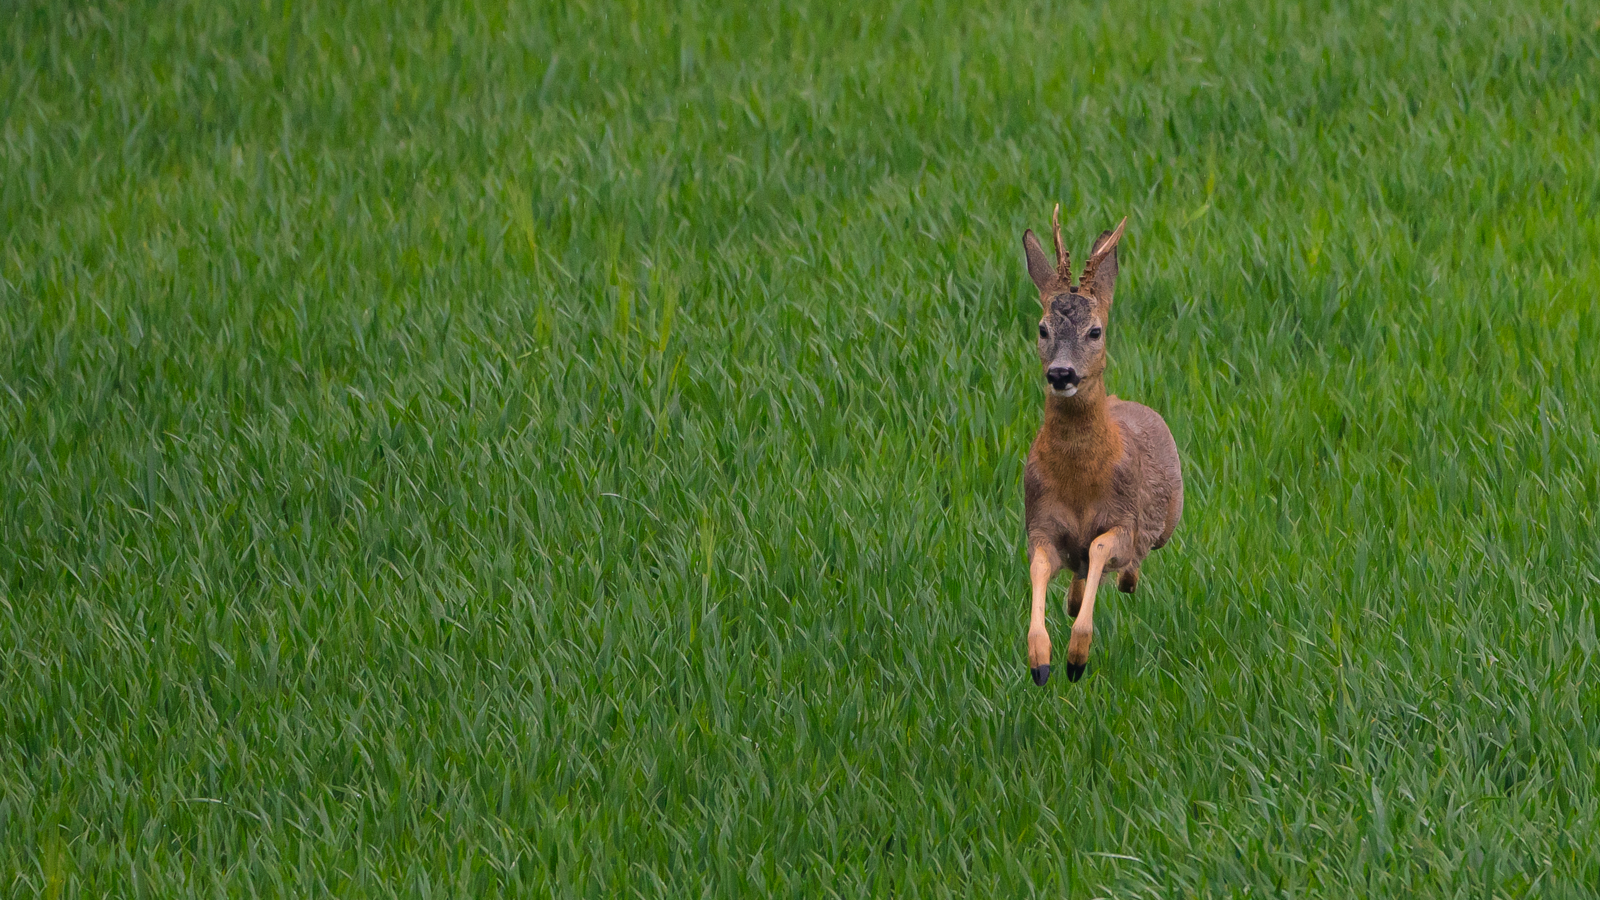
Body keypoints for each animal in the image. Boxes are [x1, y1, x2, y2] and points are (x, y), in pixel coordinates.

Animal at [1017, 206, 1184, 682]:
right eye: (1042, 328)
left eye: (1095, 331)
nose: (1061, 373)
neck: (1079, 484)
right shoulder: (1040, 524)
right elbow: (1040, 566)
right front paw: (1041, 661)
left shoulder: (1124, 520)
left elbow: (1099, 547)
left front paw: (1076, 658)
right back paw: (1074, 603)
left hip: (1168, 521)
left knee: (1130, 564)